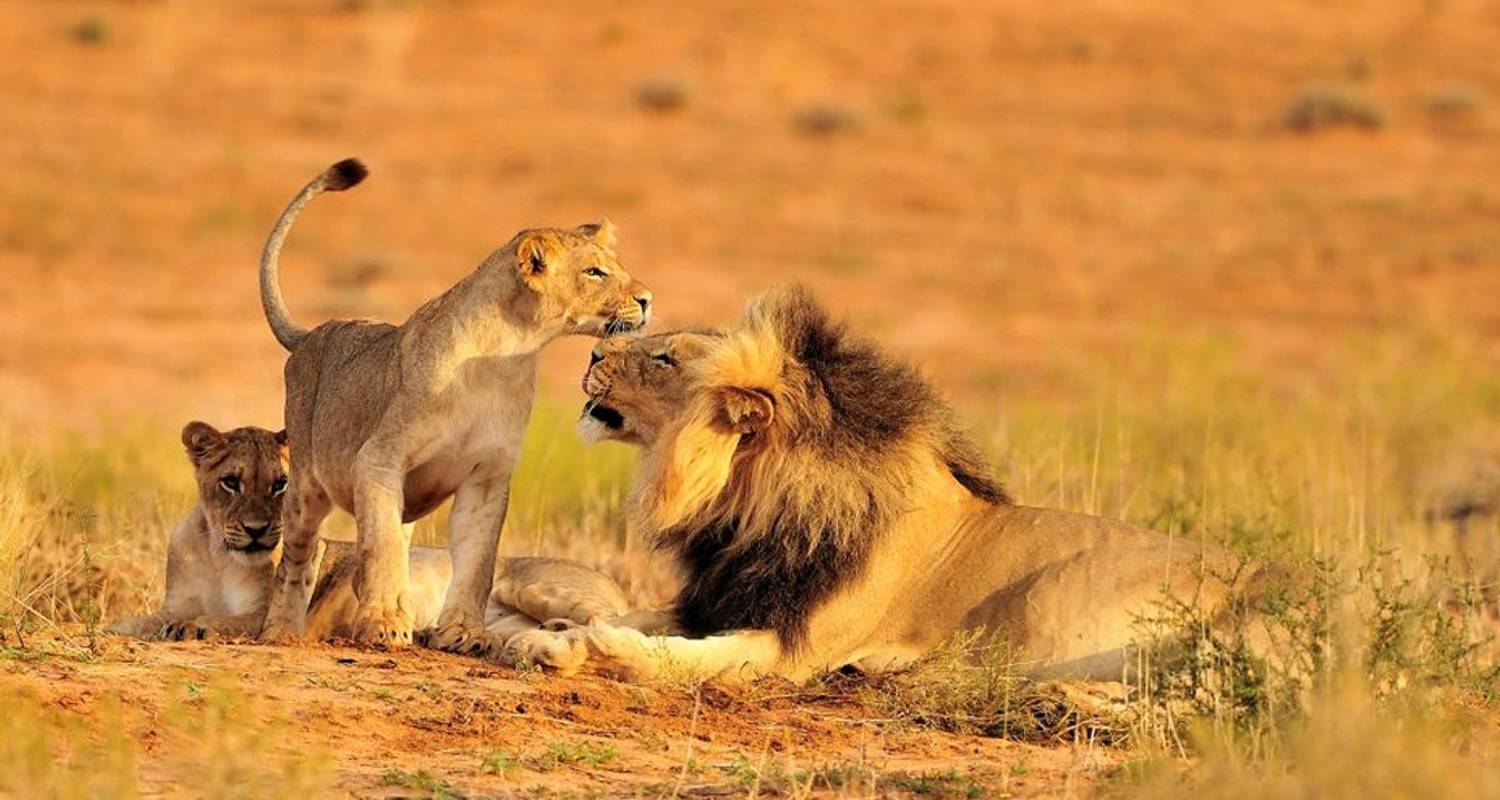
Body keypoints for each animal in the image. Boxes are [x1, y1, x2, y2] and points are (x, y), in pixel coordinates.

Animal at [108, 422, 638, 644]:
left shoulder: (271, 615)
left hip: (532, 585)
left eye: (280, 484)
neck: (220, 553)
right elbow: (138, 620)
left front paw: (194, 627)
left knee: (615, 621)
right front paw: (117, 629)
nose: (258, 531)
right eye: (231, 482)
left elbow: (223, 620)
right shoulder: (173, 599)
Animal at [254, 159, 653, 652]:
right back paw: (280, 631)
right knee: (298, 556)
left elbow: (478, 561)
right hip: (308, 486)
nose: (647, 300)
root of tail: (312, 333)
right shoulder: (379, 459)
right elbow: (382, 547)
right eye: (595, 272)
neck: (508, 352)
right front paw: (384, 625)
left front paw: (462, 632)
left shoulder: (486, 476)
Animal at [507, 287, 1272, 682]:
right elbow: (642, 616)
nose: (592, 355)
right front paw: (558, 633)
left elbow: (679, 657)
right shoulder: (725, 596)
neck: (753, 506)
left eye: (664, 358)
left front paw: (592, 645)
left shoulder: (792, 648)